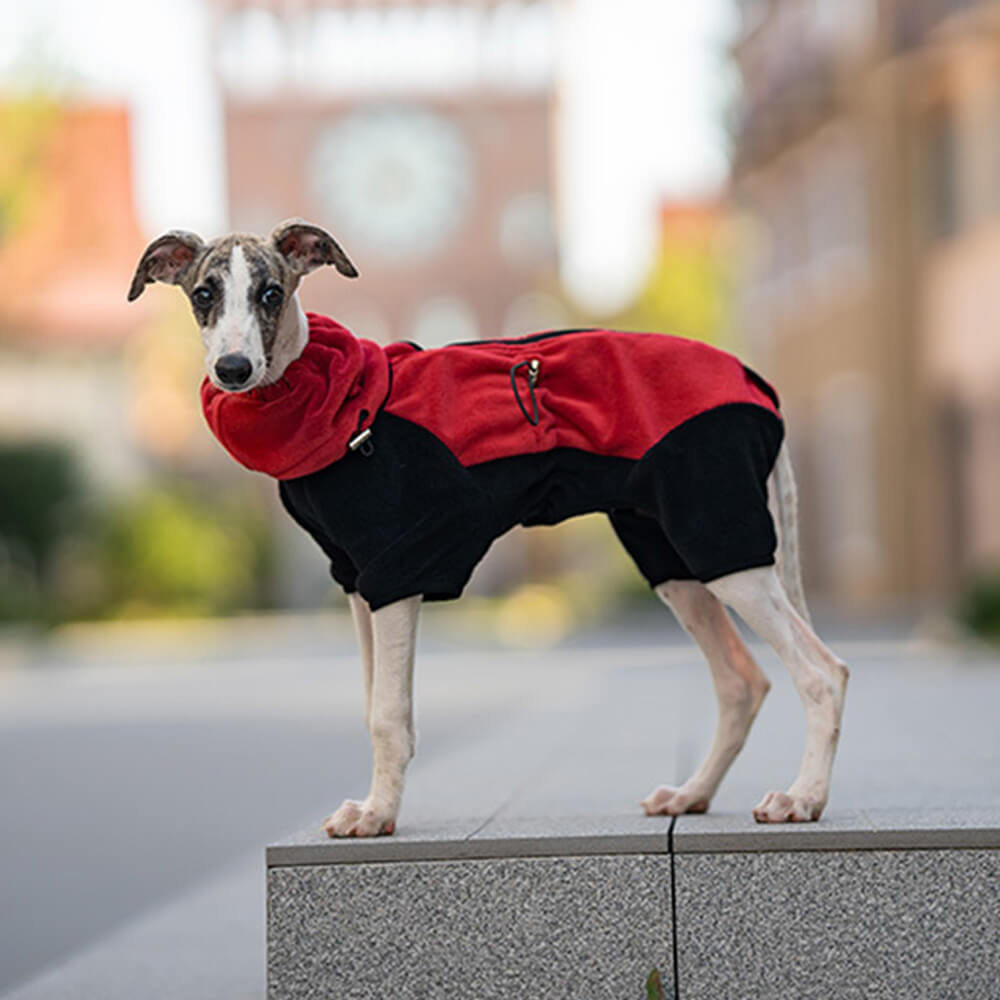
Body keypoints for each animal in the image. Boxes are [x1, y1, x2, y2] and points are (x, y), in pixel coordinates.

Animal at [129, 217, 848, 836]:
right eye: (203, 294)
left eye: (271, 293)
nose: (233, 371)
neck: (337, 404)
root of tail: (753, 382)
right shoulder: (355, 580)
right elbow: (370, 702)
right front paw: (375, 805)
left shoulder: (395, 570)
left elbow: (388, 714)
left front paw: (377, 816)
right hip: (673, 556)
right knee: (741, 681)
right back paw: (693, 794)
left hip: (722, 540)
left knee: (822, 673)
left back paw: (804, 798)